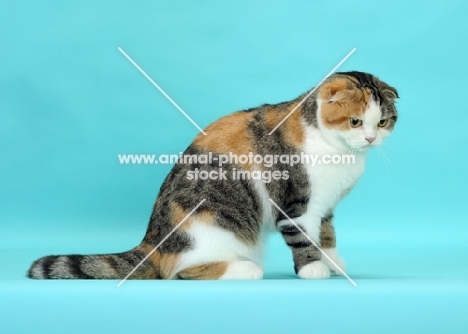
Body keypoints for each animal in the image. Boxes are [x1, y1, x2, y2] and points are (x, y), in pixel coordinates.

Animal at [27, 72, 396, 280]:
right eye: (355, 122)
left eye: (382, 122)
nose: (370, 138)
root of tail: (151, 241)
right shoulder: (295, 204)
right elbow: (305, 239)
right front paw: (312, 268)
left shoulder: (325, 207)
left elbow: (327, 236)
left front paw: (333, 262)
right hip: (212, 228)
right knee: (181, 273)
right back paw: (246, 269)